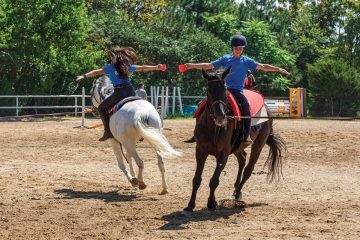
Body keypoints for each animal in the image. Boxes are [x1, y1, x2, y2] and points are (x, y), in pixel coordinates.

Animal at [183, 68, 286, 215]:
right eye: (209, 90)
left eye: (225, 89)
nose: (220, 116)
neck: (213, 127)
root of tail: (267, 110)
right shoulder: (200, 151)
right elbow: (196, 179)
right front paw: (190, 206)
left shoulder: (223, 154)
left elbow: (214, 180)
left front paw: (211, 203)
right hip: (237, 147)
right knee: (242, 158)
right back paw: (236, 191)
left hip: (258, 146)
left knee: (248, 169)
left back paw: (236, 194)